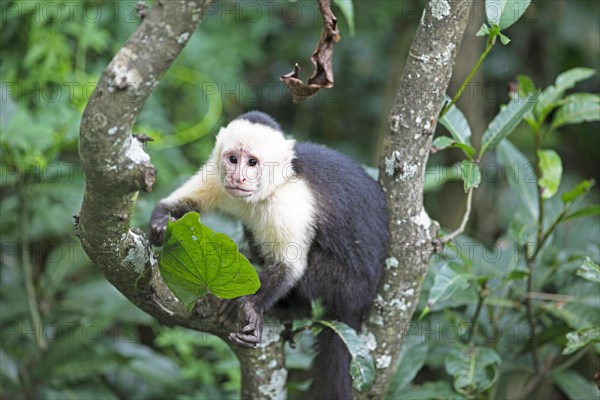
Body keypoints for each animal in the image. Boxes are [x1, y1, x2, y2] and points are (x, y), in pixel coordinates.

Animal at [150, 111, 390, 398]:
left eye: (252, 162)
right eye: (233, 159)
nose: (239, 177)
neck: (274, 185)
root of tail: (360, 302)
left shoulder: (288, 202)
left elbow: (290, 266)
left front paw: (250, 307)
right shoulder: (216, 174)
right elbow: (178, 204)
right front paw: (160, 223)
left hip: (348, 285)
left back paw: (291, 309)